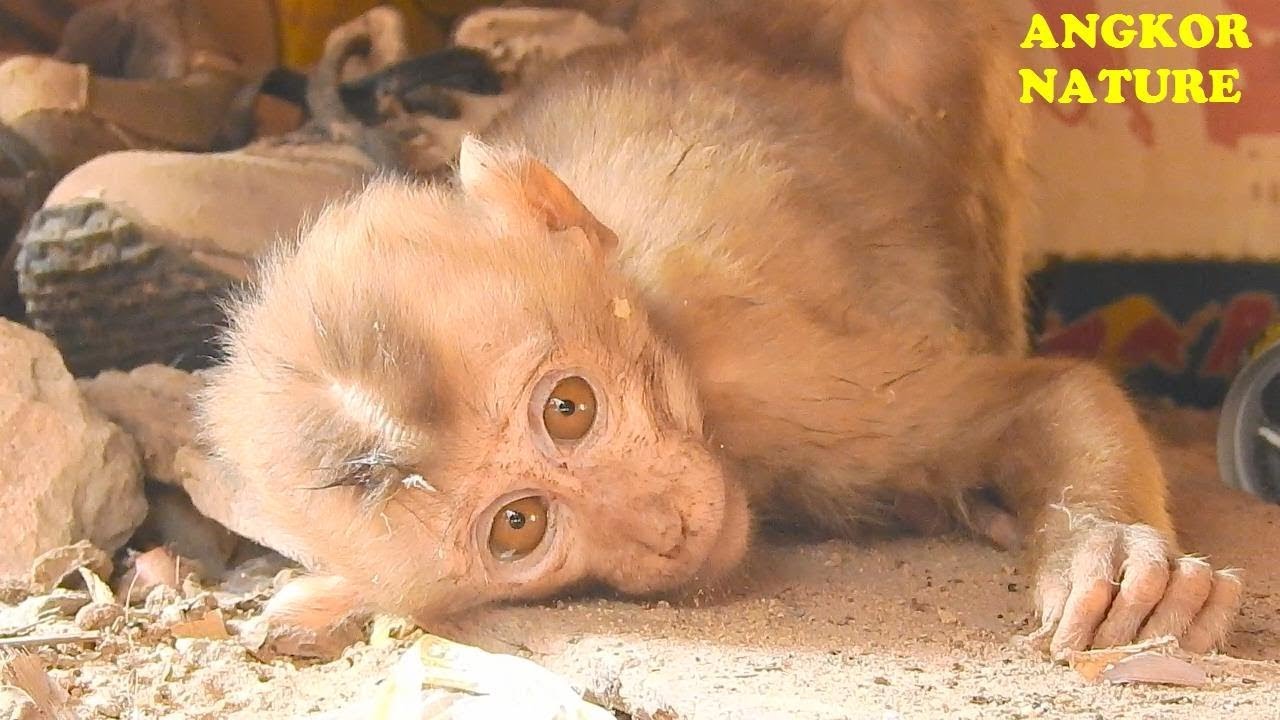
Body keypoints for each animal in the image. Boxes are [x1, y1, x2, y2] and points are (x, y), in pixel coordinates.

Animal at [197, 0, 1243, 660]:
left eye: (569, 408)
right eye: (517, 526)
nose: (662, 526)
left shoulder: (774, 375)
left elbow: (1051, 392)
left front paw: (1113, 553)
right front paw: (317, 599)